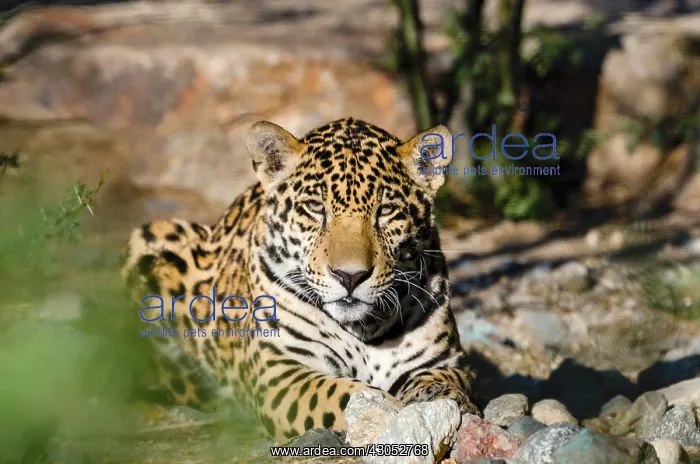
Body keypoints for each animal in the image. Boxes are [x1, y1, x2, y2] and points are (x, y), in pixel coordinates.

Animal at [121, 117, 479, 442]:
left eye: (387, 211)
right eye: (314, 208)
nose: (350, 276)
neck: (364, 329)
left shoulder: (445, 362)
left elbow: (448, 387)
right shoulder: (280, 373)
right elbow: (341, 395)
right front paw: (384, 411)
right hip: (154, 237)